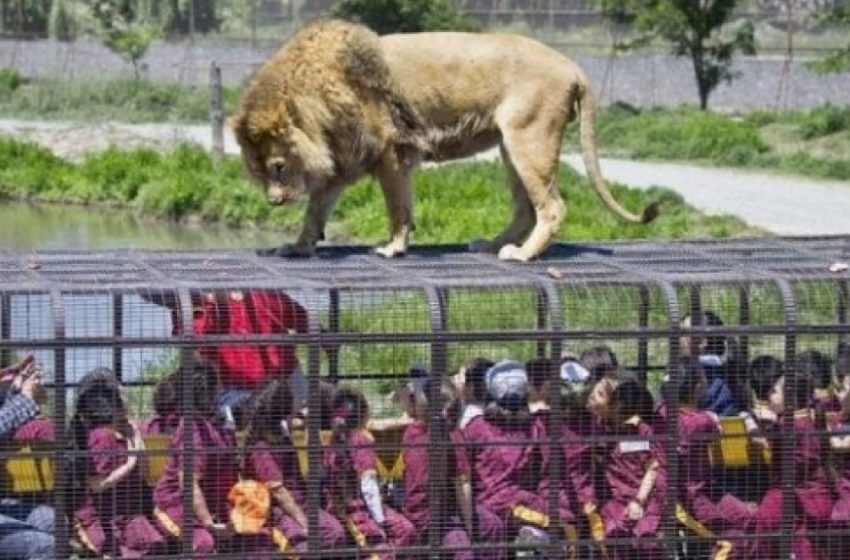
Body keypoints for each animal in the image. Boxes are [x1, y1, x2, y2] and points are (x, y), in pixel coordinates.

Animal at [230, 18, 656, 262]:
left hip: (529, 139)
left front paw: (393, 247)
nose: (274, 200)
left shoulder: (392, 153)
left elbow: (397, 207)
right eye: (258, 173)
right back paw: (490, 245)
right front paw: (297, 247)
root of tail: (573, 67)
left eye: (278, 166)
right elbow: (314, 211)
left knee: (551, 207)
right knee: (525, 209)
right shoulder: (343, 162)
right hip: (510, 146)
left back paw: (521, 255)